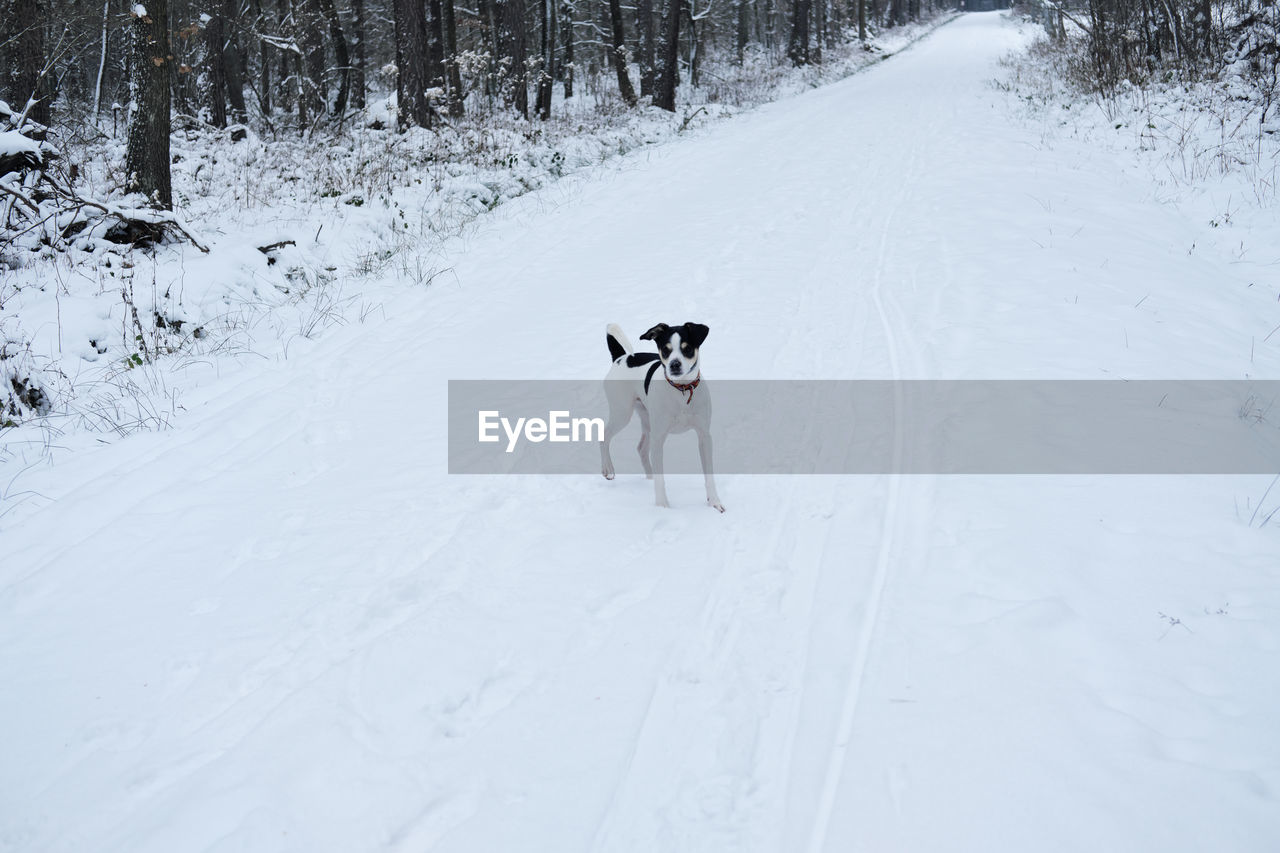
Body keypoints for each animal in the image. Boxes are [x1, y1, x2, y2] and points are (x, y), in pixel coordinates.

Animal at [596, 320, 721, 512]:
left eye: (687, 348)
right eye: (665, 349)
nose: (674, 365)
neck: (681, 390)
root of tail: (621, 357)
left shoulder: (704, 436)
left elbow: (709, 475)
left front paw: (714, 502)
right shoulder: (659, 438)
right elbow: (661, 479)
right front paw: (662, 506)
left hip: (647, 420)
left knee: (641, 448)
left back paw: (649, 478)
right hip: (622, 412)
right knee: (604, 436)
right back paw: (608, 469)